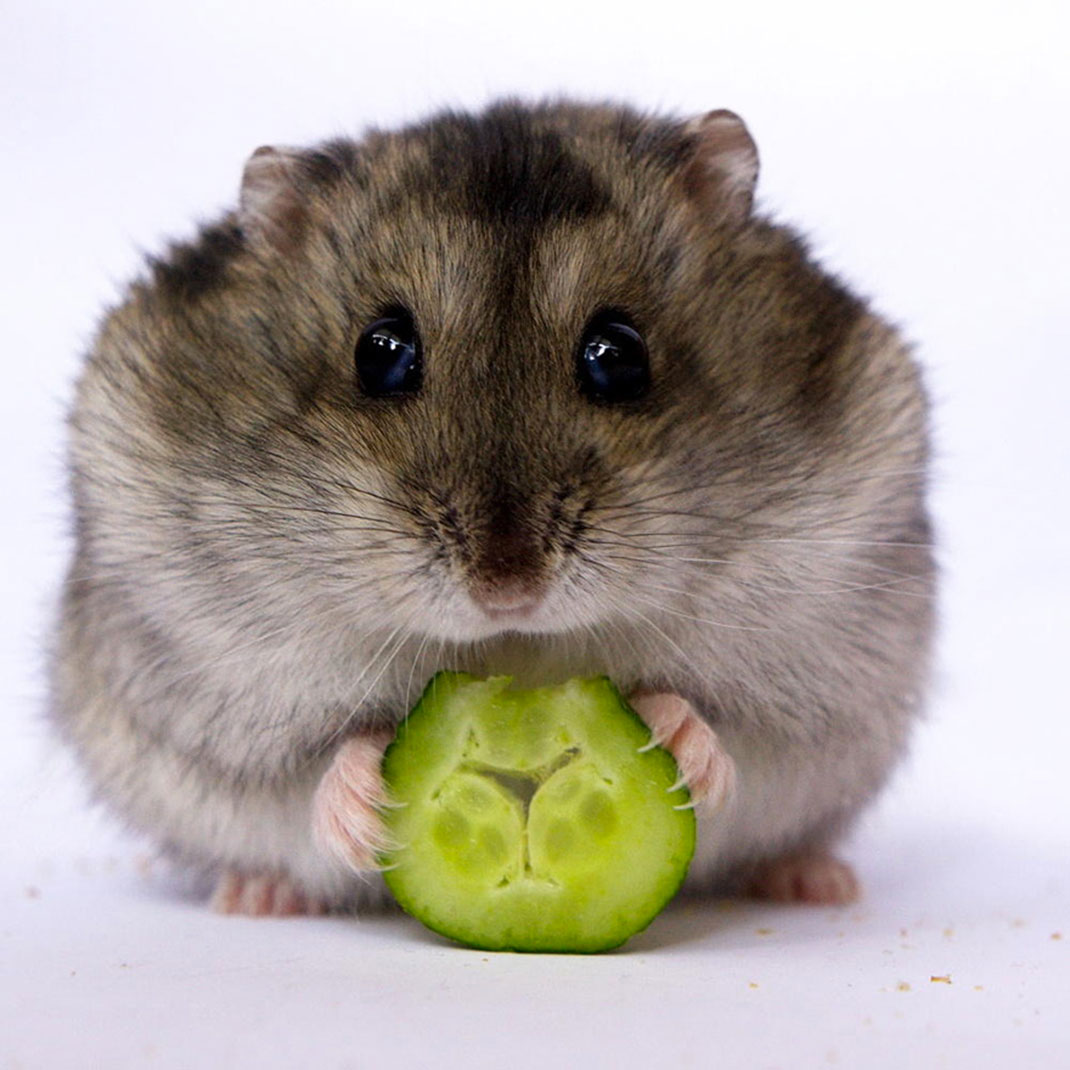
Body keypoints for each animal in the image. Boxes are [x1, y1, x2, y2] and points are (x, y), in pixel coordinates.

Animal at [51, 100, 935, 916]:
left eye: (618, 355)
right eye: (382, 353)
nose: (507, 589)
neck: (520, 647)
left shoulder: (811, 675)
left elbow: (733, 731)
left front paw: (676, 734)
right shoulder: (217, 695)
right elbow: (308, 767)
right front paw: (363, 796)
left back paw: (815, 882)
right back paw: (253, 897)